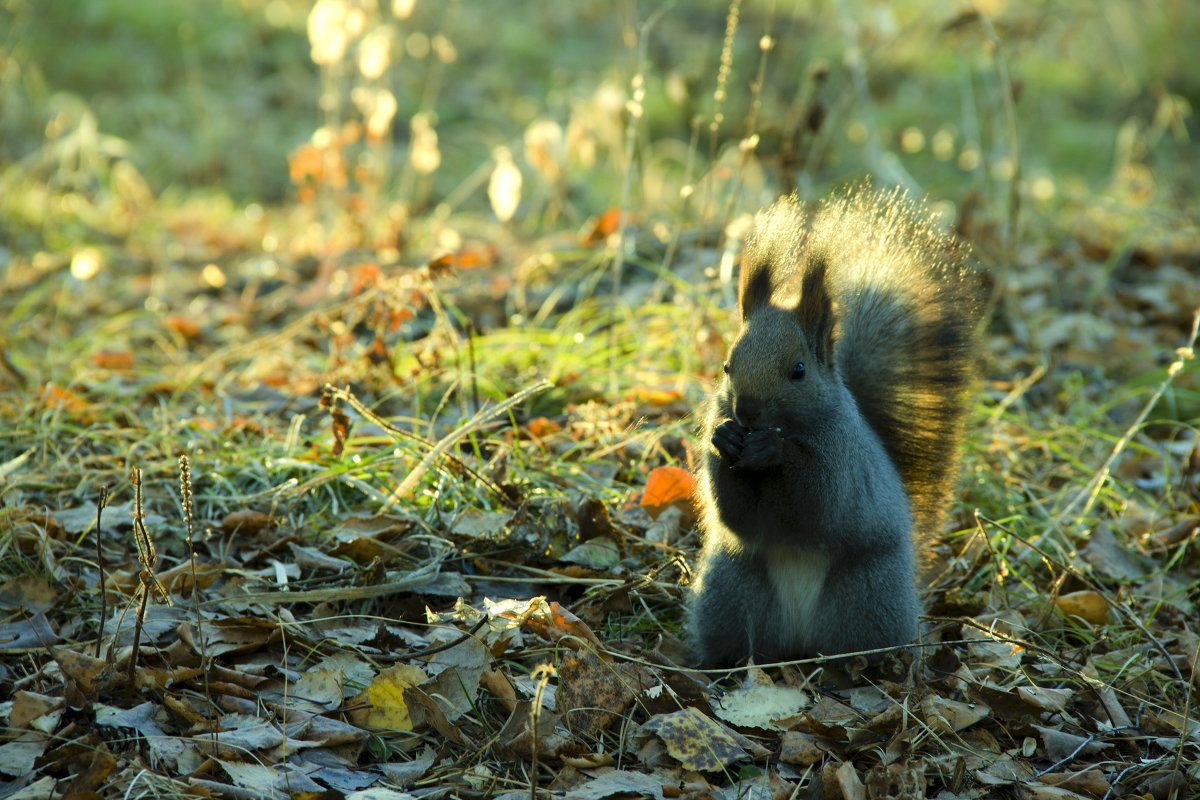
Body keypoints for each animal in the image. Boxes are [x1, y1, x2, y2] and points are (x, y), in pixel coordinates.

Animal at [691, 188, 979, 671]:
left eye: (799, 371)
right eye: (727, 367)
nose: (747, 412)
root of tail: (800, 640)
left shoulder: (843, 461)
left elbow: (821, 501)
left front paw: (772, 450)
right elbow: (737, 516)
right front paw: (724, 441)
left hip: (866, 596)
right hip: (732, 593)